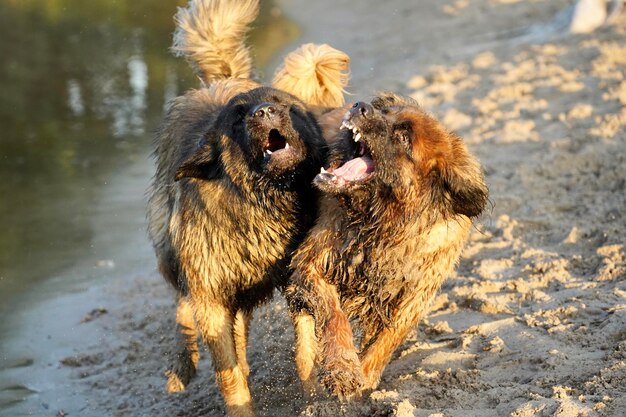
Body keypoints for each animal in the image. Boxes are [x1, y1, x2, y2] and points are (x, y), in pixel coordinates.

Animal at [286, 92, 488, 396]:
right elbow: (333, 314)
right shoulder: (312, 262)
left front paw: (365, 375)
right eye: (387, 111)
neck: (384, 225)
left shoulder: (414, 294)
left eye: (403, 137)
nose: (361, 106)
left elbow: (388, 339)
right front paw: (343, 367)